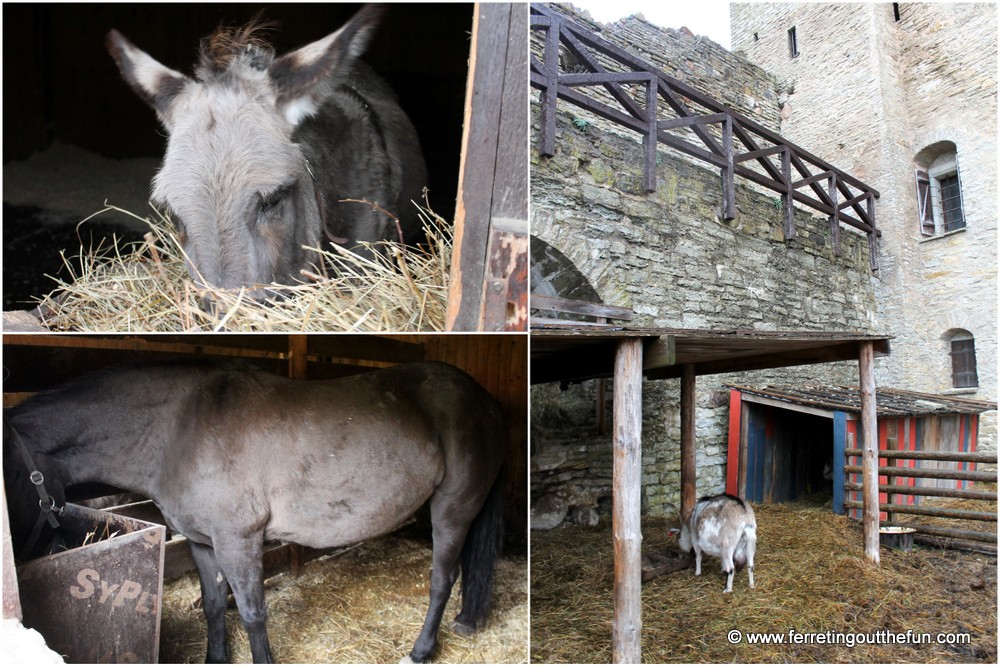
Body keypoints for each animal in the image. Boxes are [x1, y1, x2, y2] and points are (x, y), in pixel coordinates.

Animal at [3, 362, 504, 664]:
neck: (178, 428)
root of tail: (484, 399)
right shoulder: (204, 543)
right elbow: (212, 604)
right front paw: (215, 657)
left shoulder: (239, 541)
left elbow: (251, 612)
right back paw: (465, 621)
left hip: (452, 508)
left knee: (442, 579)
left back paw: (422, 650)